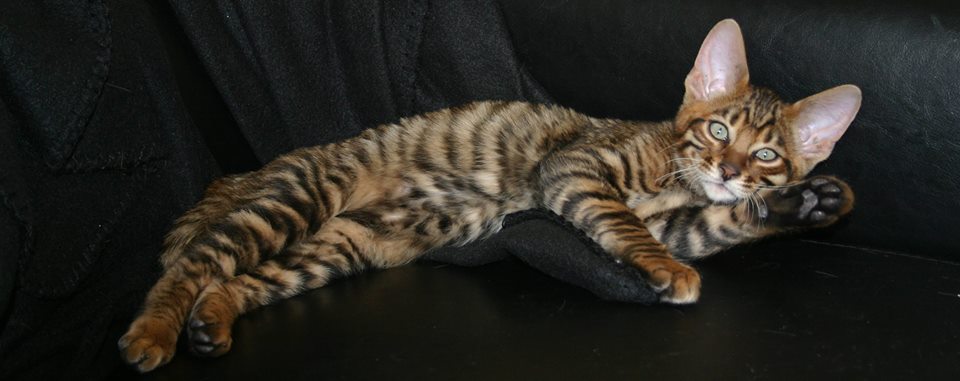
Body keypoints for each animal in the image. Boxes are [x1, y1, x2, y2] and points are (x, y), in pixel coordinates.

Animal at [120, 18, 864, 372]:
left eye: (766, 154)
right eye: (716, 128)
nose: (729, 169)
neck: (670, 171)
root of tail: (253, 171)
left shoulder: (683, 218)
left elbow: (714, 224)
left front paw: (805, 203)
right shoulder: (575, 171)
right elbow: (626, 226)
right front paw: (666, 270)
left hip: (335, 249)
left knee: (238, 281)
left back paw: (211, 322)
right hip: (296, 199)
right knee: (193, 265)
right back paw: (155, 331)